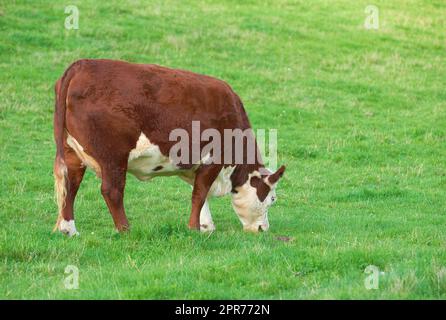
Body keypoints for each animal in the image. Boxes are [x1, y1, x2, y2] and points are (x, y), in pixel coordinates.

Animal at [53, 58, 286, 236]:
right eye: (272, 199)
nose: (263, 229)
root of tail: (81, 65)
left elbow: (199, 194)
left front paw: (206, 226)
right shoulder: (212, 159)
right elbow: (199, 194)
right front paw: (194, 229)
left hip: (72, 153)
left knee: (70, 186)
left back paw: (69, 229)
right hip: (113, 157)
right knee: (112, 191)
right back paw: (125, 230)